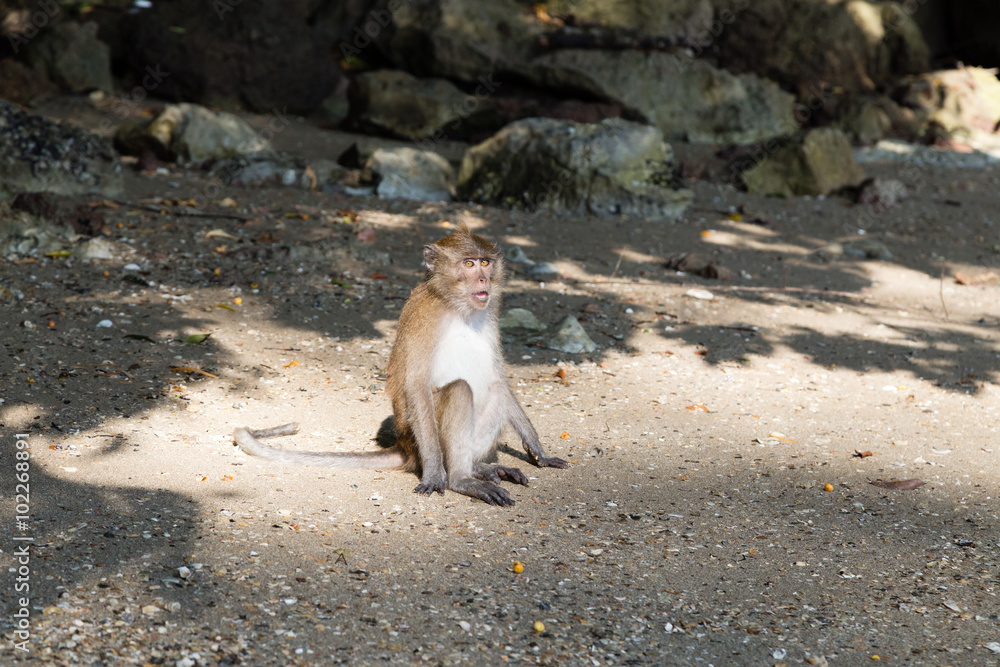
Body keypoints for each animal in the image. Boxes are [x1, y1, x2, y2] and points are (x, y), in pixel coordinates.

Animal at [229, 226, 568, 506]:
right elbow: (416, 383)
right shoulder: (425, 317)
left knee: (496, 389)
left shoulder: (491, 315)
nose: (484, 279)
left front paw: (539, 451)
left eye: (485, 262)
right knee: (459, 390)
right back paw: (461, 478)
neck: (457, 306)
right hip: (422, 441)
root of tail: (404, 447)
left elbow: (498, 376)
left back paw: (480, 467)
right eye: (469, 264)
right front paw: (435, 476)